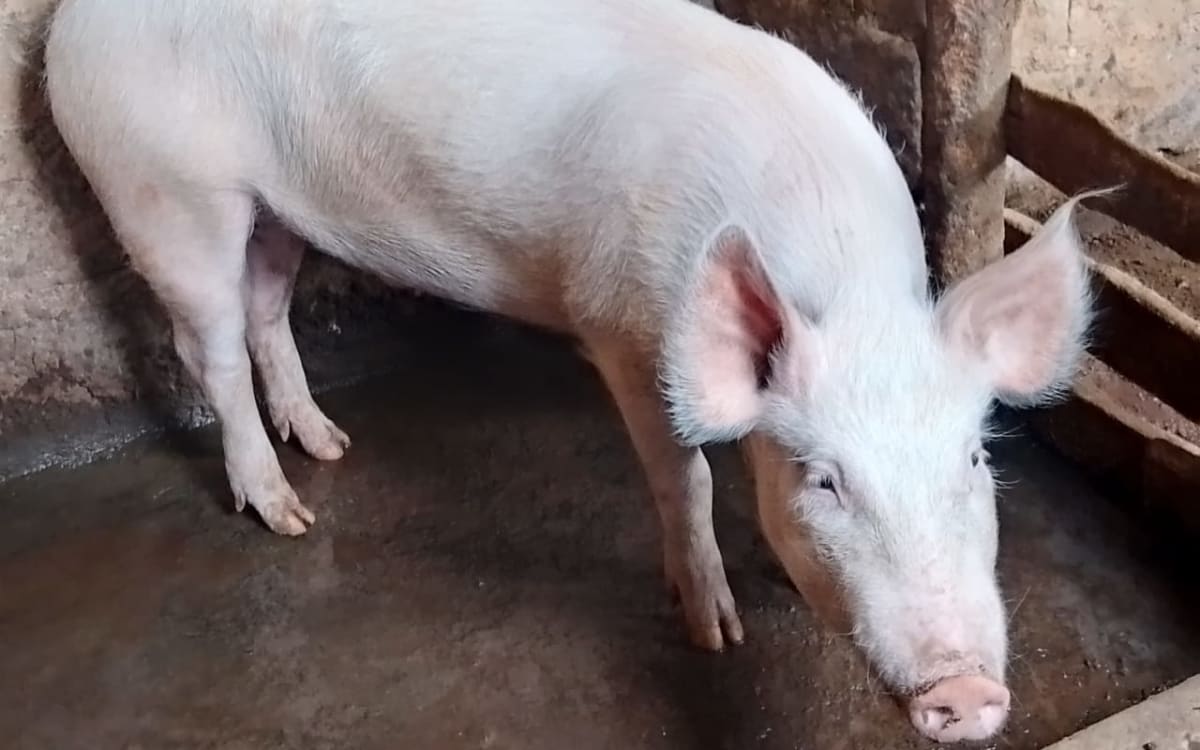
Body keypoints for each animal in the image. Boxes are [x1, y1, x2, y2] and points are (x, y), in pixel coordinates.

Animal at [43, 0, 1097, 742]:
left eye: (973, 462)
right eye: (825, 480)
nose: (968, 688)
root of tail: (65, 25)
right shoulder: (624, 331)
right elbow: (686, 478)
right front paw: (716, 632)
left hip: (274, 209)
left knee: (266, 311)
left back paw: (331, 447)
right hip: (164, 192)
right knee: (210, 349)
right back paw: (287, 514)